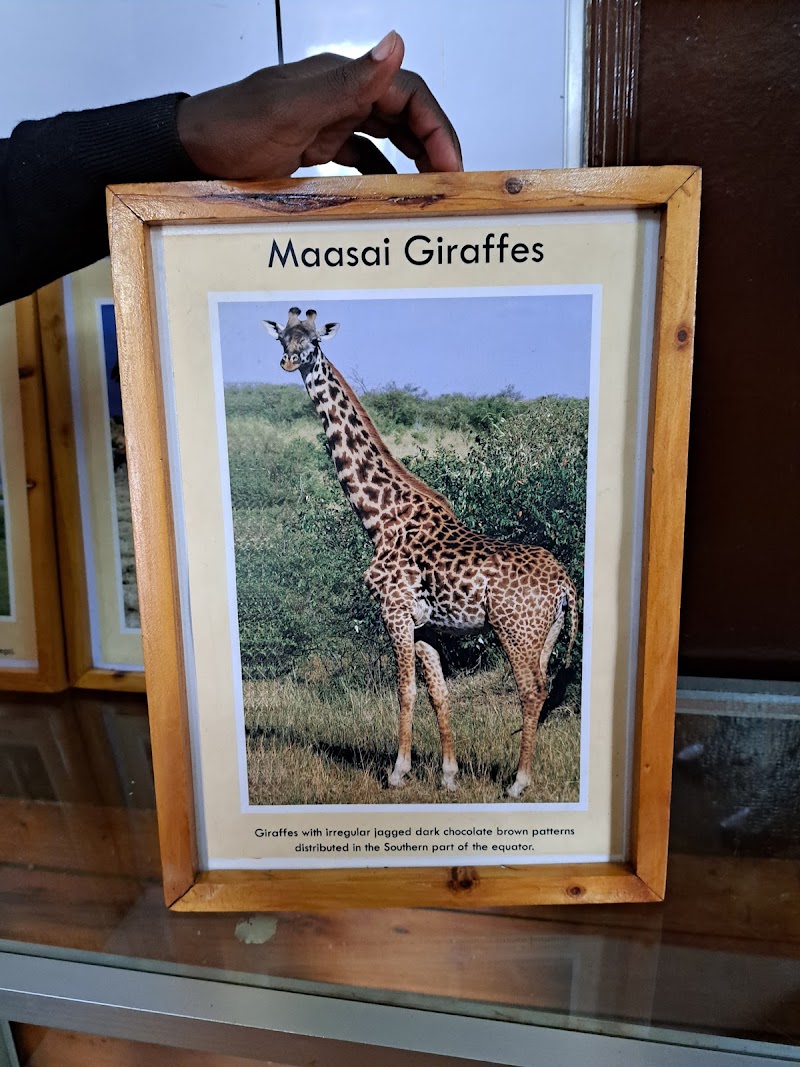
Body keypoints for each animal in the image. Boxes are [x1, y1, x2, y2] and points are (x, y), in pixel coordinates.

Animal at [262, 308, 579, 797]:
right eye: (282, 338)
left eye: (312, 342)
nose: (288, 361)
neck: (380, 518)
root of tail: (565, 584)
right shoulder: (427, 624)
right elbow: (438, 692)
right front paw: (449, 775)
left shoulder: (393, 611)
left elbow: (404, 691)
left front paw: (398, 772)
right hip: (546, 635)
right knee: (542, 688)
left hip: (516, 632)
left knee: (530, 691)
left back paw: (518, 782)